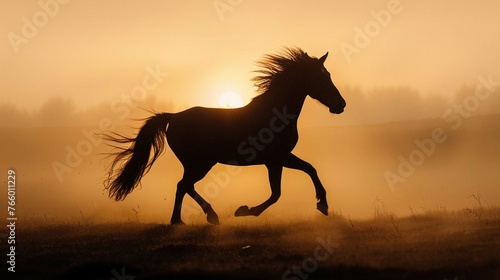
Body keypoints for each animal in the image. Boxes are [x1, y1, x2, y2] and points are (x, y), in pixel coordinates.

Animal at [104, 47, 348, 224]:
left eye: (328, 75)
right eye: (320, 78)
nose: (341, 104)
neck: (275, 114)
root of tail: (173, 117)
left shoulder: (278, 159)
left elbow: (308, 170)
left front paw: (322, 205)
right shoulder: (276, 158)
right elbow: (278, 193)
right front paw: (244, 210)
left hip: (197, 163)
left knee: (185, 186)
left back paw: (191, 219)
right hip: (200, 163)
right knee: (183, 185)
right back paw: (196, 219)